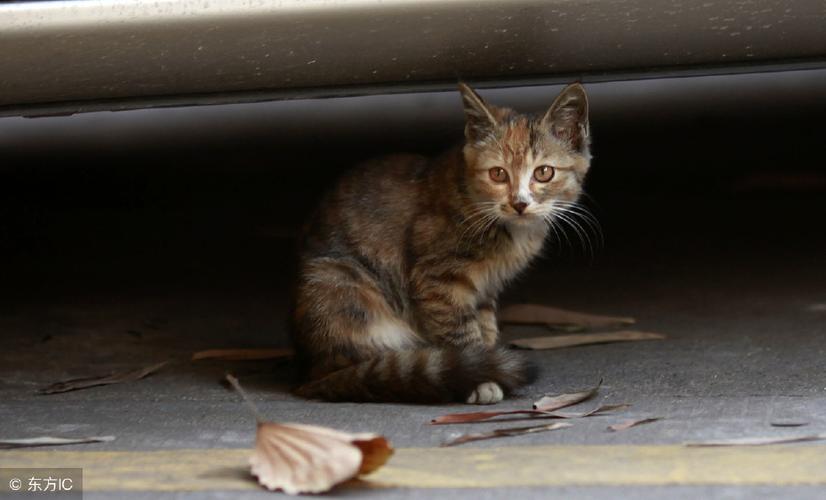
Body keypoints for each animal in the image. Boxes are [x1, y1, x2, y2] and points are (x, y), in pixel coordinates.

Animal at [292, 82, 588, 402]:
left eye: (544, 172)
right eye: (498, 174)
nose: (519, 203)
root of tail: (310, 373)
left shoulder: (486, 287)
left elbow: (485, 325)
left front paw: (485, 362)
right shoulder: (436, 280)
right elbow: (458, 330)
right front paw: (480, 379)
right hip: (339, 283)